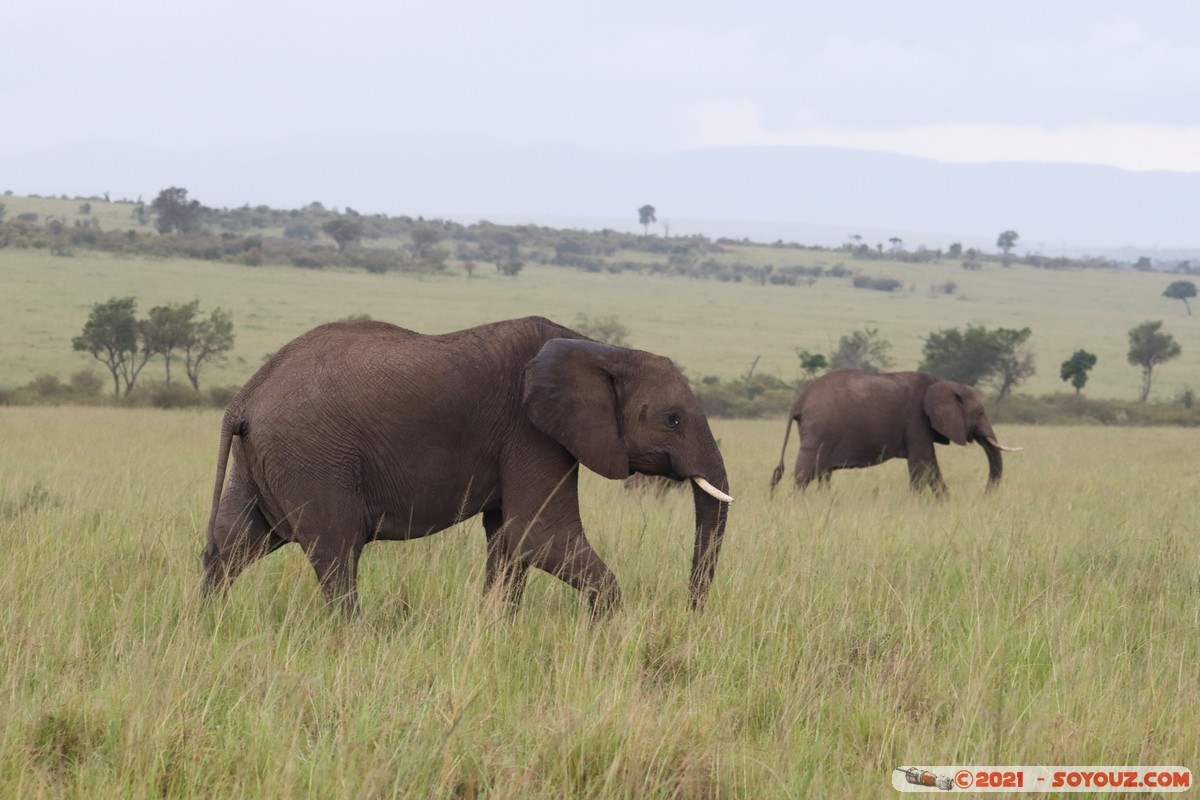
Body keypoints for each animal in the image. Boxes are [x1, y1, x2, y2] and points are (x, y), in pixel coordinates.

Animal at [202, 316, 732, 616]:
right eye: (673, 419)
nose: (691, 614)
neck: (600, 349)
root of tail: (244, 398)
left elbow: (510, 541)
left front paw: (495, 629)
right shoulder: (530, 431)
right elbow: (541, 535)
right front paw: (607, 629)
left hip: (264, 461)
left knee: (235, 543)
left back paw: (207, 624)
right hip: (312, 459)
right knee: (337, 552)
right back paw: (354, 636)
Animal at [769, 370, 1020, 496]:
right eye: (980, 412)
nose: (984, 495)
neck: (941, 382)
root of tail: (799, 401)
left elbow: (930, 466)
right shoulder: (916, 419)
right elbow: (923, 464)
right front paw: (920, 504)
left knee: (822, 473)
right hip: (819, 430)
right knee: (805, 473)